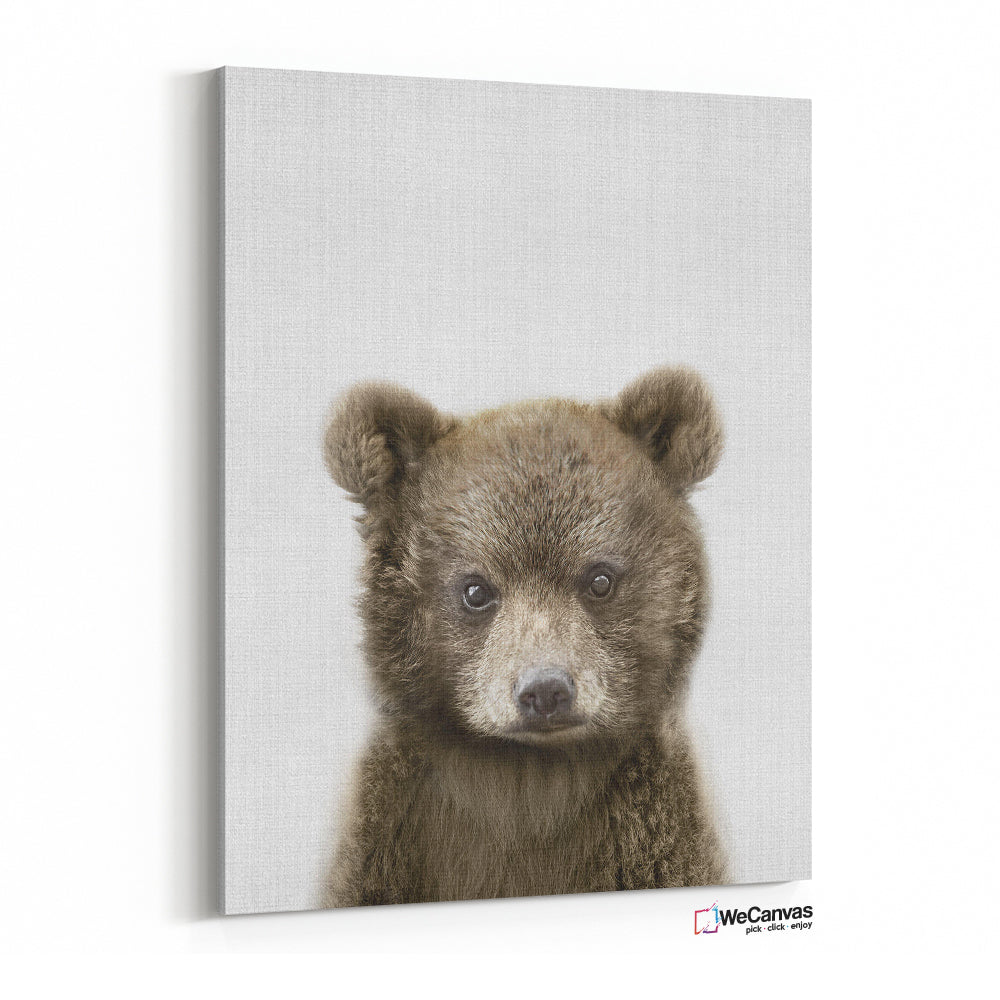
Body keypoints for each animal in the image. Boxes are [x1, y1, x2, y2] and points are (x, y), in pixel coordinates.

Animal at [321, 366, 726, 906]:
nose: (545, 690)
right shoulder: (389, 843)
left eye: (600, 579)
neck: (525, 782)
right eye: (475, 589)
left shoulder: (654, 838)